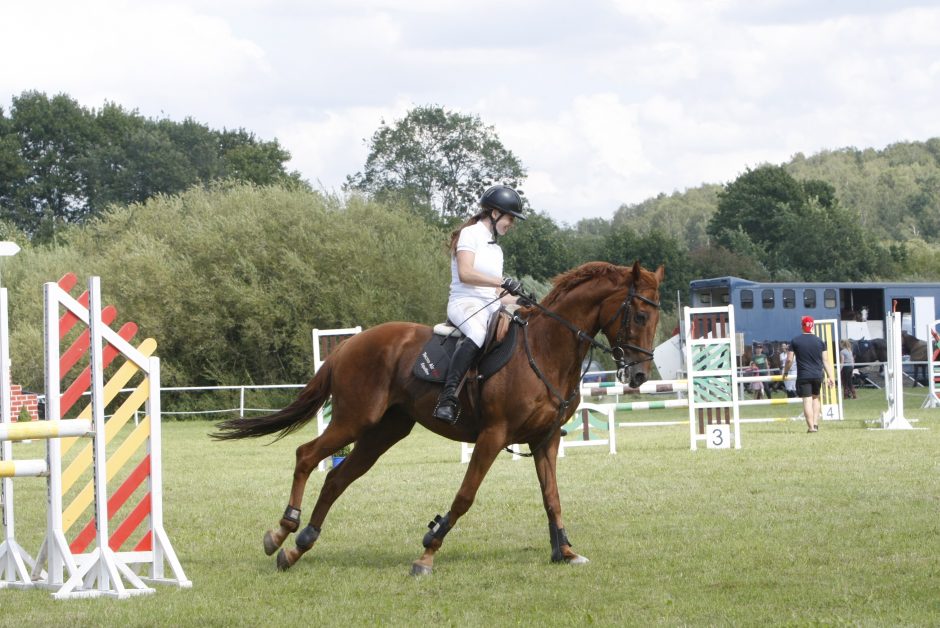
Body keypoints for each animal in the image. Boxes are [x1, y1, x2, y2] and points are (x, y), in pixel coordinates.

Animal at [213, 258, 668, 576]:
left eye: (657, 316)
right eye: (640, 315)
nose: (639, 376)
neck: (545, 348)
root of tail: (347, 345)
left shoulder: (546, 438)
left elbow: (551, 497)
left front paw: (566, 551)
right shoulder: (493, 435)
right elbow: (465, 497)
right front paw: (428, 551)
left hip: (384, 432)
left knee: (337, 477)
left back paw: (298, 546)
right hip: (355, 420)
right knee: (307, 456)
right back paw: (282, 530)